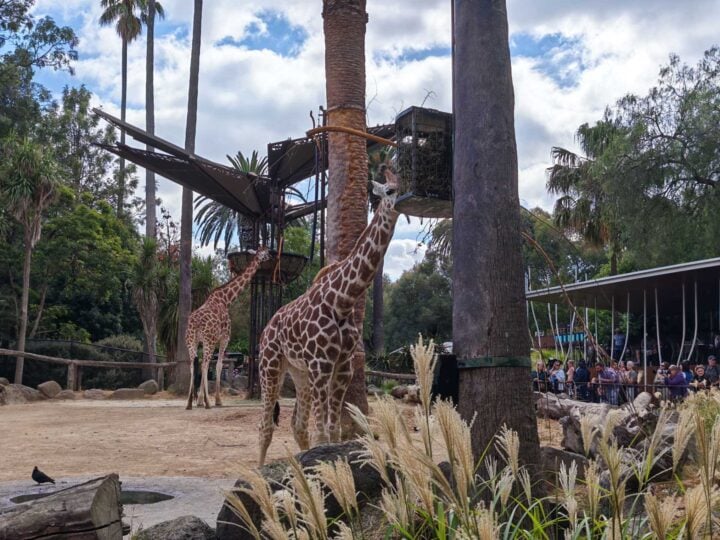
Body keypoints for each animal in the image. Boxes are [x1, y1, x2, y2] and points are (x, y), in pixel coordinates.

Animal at [185, 246, 271, 410]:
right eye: (266, 252)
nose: (271, 258)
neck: (226, 299)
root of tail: (196, 322)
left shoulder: (208, 341)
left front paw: (199, 401)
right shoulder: (224, 338)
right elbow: (218, 366)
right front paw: (217, 400)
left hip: (191, 341)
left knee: (193, 365)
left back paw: (189, 403)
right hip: (208, 341)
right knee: (205, 365)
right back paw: (207, 403)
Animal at [257, 167, 400, 465]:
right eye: (390, 191)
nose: (403, 202)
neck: (343, 300)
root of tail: (266, 328)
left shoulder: (343, 365)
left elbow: (333, 430)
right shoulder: (321, 363)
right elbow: (322, 432)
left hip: (299, 372)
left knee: (298, 425)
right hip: (271, 364)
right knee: (265, 425)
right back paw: (259, 471)